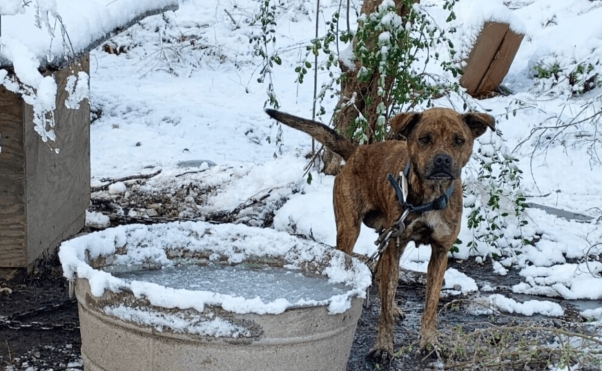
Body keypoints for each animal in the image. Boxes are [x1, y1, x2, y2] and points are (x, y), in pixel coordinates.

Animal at [264, 108, 494, 370]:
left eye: (459, 140)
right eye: (424, 138)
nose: (442, 160)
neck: (428, 197)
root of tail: (358, 150)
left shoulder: (440, 252)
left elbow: (430, 305)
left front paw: (429, 342)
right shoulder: (394, 244)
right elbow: (384, 308)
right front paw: (383, 347)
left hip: (387, 235)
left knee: (385, 278)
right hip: (351, 230)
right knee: (371, 271)